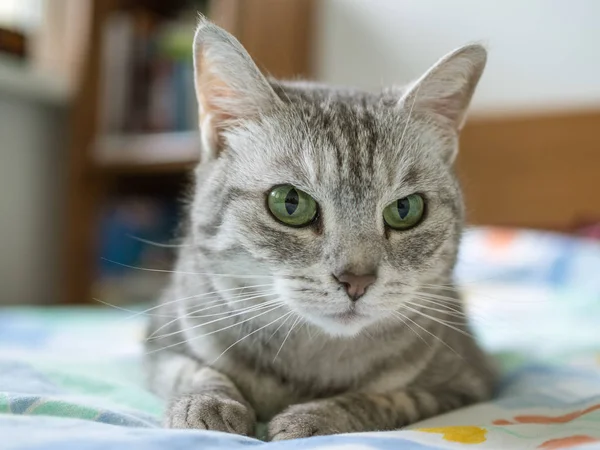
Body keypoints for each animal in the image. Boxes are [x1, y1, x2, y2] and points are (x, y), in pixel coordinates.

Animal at [143, 17, 494, 440]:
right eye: (290, 203)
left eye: (405, 209)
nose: (356, 280)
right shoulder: (161, 339)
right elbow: (193, 371)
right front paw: (209, 405)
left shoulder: (464, 380)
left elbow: (381, 400)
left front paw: (312, 417)